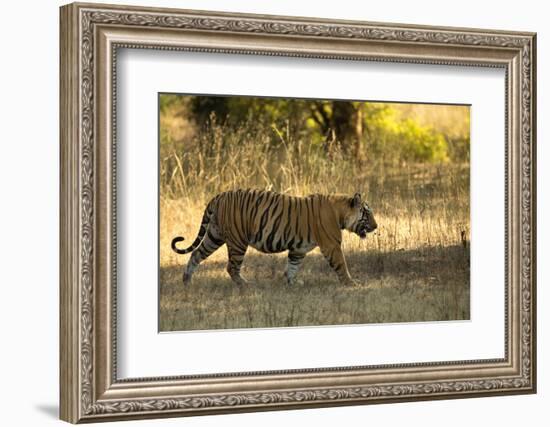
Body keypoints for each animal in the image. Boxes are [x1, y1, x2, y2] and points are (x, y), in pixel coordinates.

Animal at [171, 188, 380, 286]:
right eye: (367, 213)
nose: (376, 226)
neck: (341, 212)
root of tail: (218, 196)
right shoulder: (332, 245)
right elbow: (342, 265)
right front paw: (351, 284)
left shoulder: (298, 248)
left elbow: (292, 266)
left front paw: (291, 282)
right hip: (237, 241)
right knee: (231, 267)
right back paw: (246, 285)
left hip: (214, 236)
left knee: (196, 254)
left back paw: (187, 281)